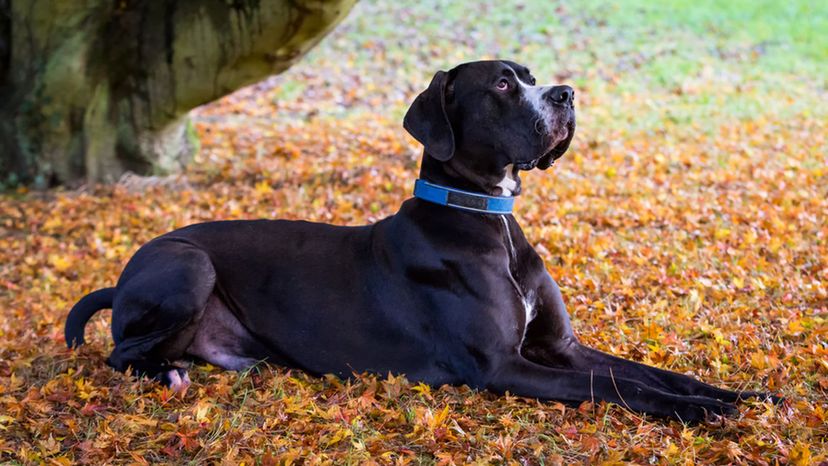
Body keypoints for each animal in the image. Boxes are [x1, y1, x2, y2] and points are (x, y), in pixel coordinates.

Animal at [66, 60, 776, 420]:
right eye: (502, 84)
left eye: (533, 74)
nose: (567, 93)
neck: (486, 216)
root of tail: (125, 274)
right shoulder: (502, 366)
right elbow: (622, 389)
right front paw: (700, 414)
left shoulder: (561, 348)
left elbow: (652, 373)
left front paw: (739, 396)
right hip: (187, 263)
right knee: (121, 354)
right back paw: (168, 373)